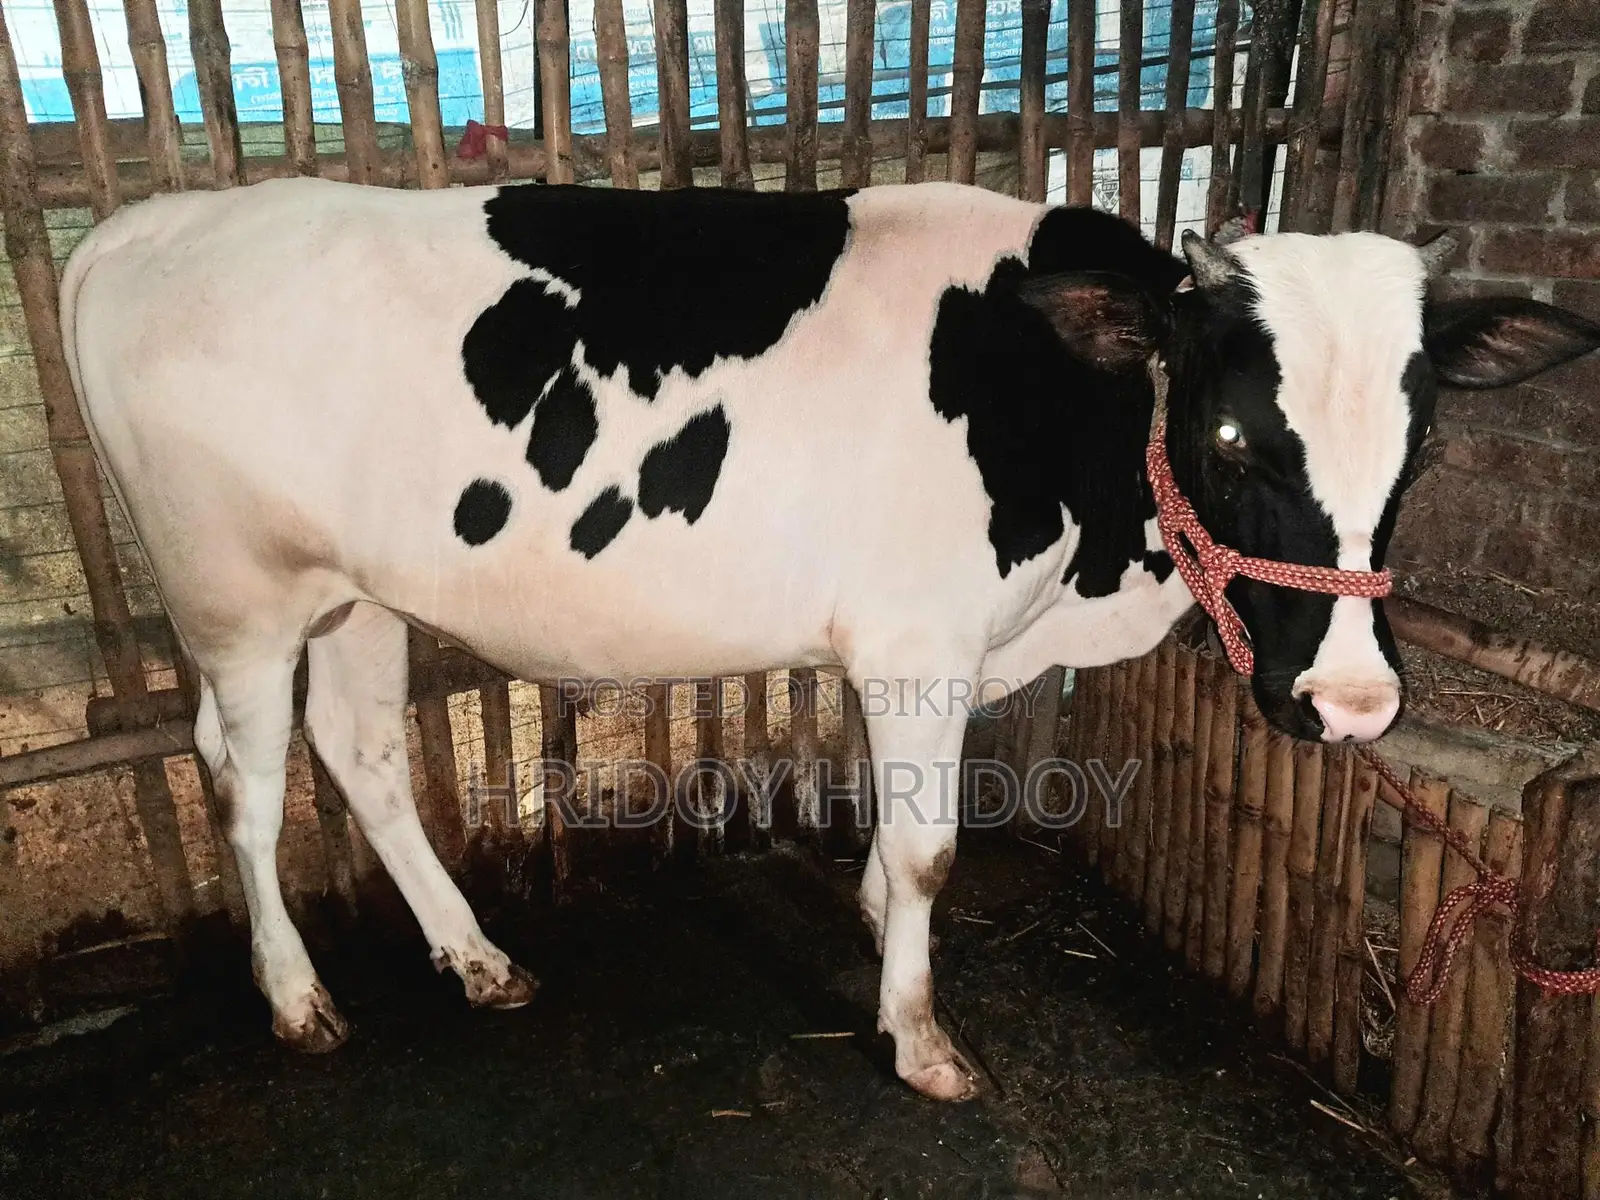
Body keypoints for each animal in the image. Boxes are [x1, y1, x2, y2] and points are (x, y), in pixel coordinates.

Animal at [59, 177, 1600, 1103]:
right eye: (1229, 437)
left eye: (1420, 443)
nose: (1351, 701)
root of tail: (145, 224)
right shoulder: (919, 640)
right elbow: (929, 847)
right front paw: (920, 1038)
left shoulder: (922, 647)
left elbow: (890, 818)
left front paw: (868, 925)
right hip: (237, 599)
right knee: (247, 790)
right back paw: (296, 998)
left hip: (356, 593)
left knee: (362, 750)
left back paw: (478, 960)